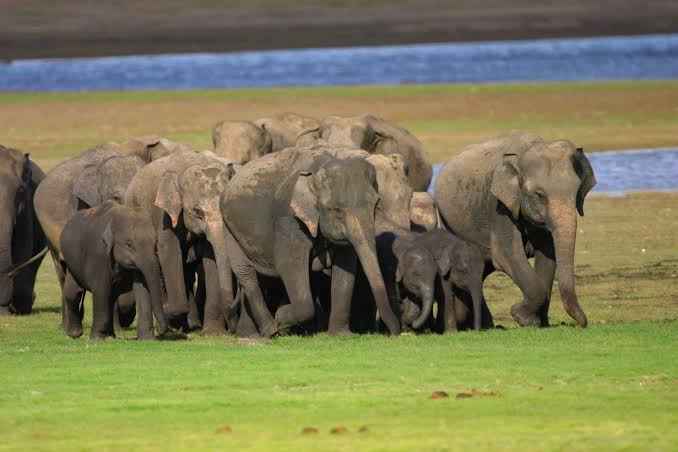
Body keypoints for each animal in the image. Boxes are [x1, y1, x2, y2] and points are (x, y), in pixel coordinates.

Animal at [60, 201, 168, 340]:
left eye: (155, 243)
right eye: (129, 244)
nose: (161, 330)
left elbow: (142, 289)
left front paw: (147, 340)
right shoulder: (99, 254)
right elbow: (101, 289)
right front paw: (96, 339)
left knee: (111, 297)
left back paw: (111, 335)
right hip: (71, 261)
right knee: (74, 292)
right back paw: (75, 334)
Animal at [125, 150, 236, 334]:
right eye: (197, 212)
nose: (231, 329)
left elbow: (210, 256)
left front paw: (212, 332)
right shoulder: (163, 213)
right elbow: (168, 250)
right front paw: (170, 313)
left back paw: (191, 325)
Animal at [220, 145, 401, 337]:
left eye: (376, 205)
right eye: (336, 210)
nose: (392, 333)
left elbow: (346, 266)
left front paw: (341, 335)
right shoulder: (289, 219)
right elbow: (288, 264)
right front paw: (280, 318)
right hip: (229, 229)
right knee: (246, 274)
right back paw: (269, 330)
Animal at [434, 132, 596, 328]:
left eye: (576, 192)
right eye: (539, 195)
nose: (582, 324)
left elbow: (548, 255)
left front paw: (538, 323)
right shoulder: (498, 206)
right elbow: (508, 255)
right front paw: (521, 317)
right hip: (448, 224)